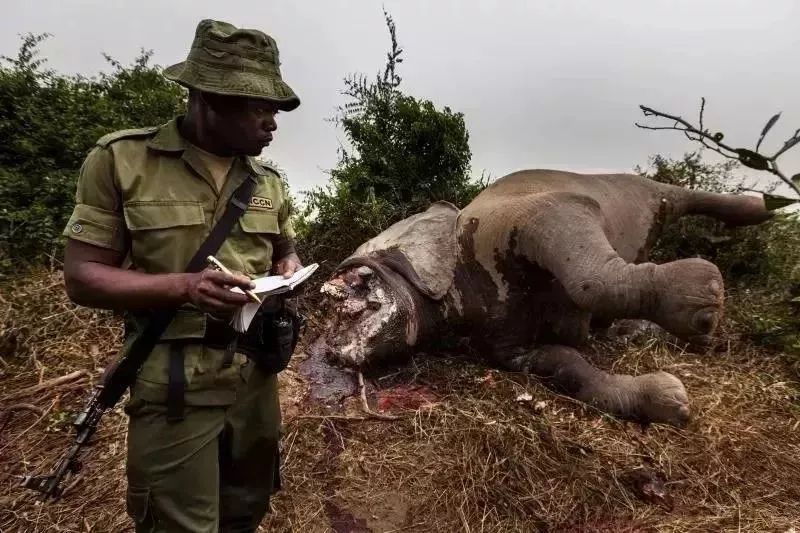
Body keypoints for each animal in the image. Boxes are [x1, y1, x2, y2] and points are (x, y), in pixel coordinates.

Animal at [310, 168, 768, 426]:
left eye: (341, 300)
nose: (330, 351)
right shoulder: (504, 343)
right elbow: (562, 363)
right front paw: (667, 401)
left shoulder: (524, 215)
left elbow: (589, 279)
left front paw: (704, 296)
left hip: (632, 187)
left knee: (677, 195)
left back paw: (758, 208)